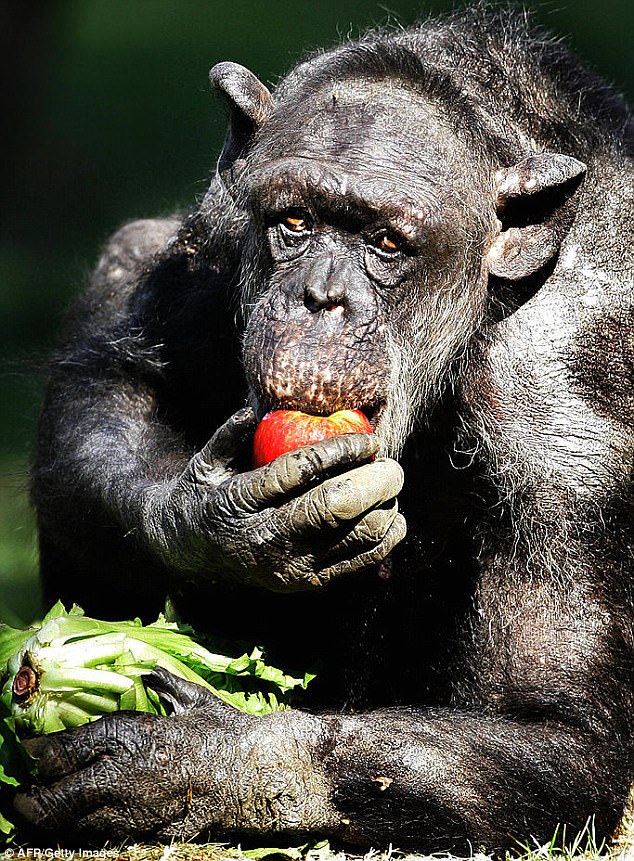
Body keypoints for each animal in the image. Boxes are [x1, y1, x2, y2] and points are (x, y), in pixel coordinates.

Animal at [16, 5, 632, 852]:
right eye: (295, 222)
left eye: (388, 243)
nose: (321, 297)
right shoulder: (217, 231)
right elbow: (118, 373)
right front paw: (222, 524)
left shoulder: (566, 420)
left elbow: (559, 728)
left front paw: (209, 761)